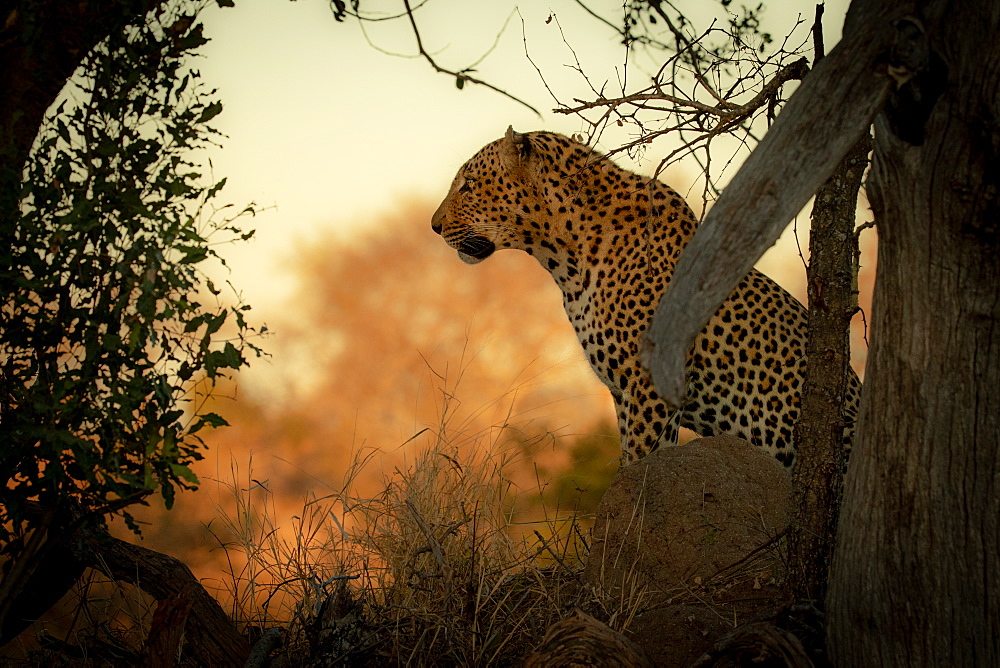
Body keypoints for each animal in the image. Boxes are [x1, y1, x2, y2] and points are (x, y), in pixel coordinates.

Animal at [430, 126, 860, 470]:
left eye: (468, 184)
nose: (434, 226)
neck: (565, 258)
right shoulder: (622, 392)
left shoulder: (651, 381)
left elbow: (641, 461)